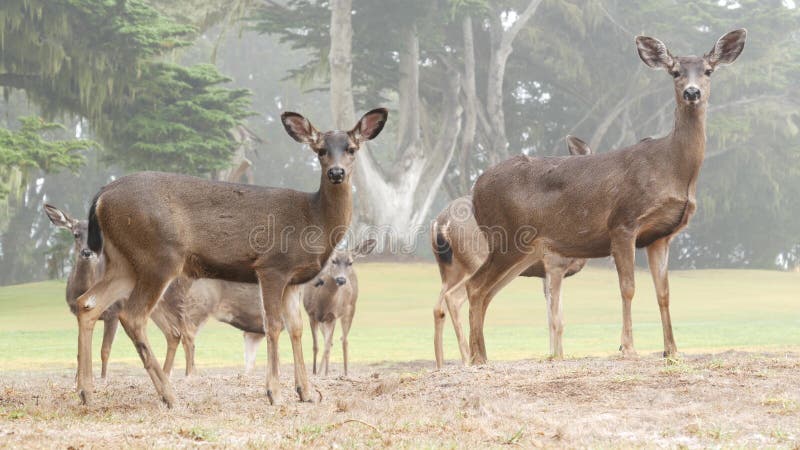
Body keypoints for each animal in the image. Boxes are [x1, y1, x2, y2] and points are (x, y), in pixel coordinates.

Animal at [304, 239, 378, 376]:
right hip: (324, 321)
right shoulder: (311, 314)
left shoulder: (333, 315)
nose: (341, 279)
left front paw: (325, 374)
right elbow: (316, 346)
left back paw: (345, 372)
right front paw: (315, 372)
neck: (322, 301)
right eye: (333, 260)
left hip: (351, 308)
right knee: (332, 342)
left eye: (350, 262)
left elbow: (327, 346)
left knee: (344, 340)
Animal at [434, 135, 592, 368]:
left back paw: (443, 364)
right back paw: (468, 358)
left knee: (439, 307)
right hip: (475, 261)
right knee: (458, 297)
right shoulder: (555, 263)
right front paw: (559, 356)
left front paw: (551, 354)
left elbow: (549, 314)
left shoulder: (544, 272)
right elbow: (557, 318)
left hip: (448, 268)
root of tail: (439, 223)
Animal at [460, 29, 748, 366]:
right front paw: (628, 348)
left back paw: (481, 356)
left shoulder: (661, 236)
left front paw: (672, 351)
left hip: (523, 250)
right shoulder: (623, 222)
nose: (692, 93)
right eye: (675, 72)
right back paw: (477, 359)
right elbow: (628, 287)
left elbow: (663, 293)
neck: (673, 170)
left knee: (486, 291)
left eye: (708, 70)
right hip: (506, 235)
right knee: (475, 286)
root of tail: (476, 188)